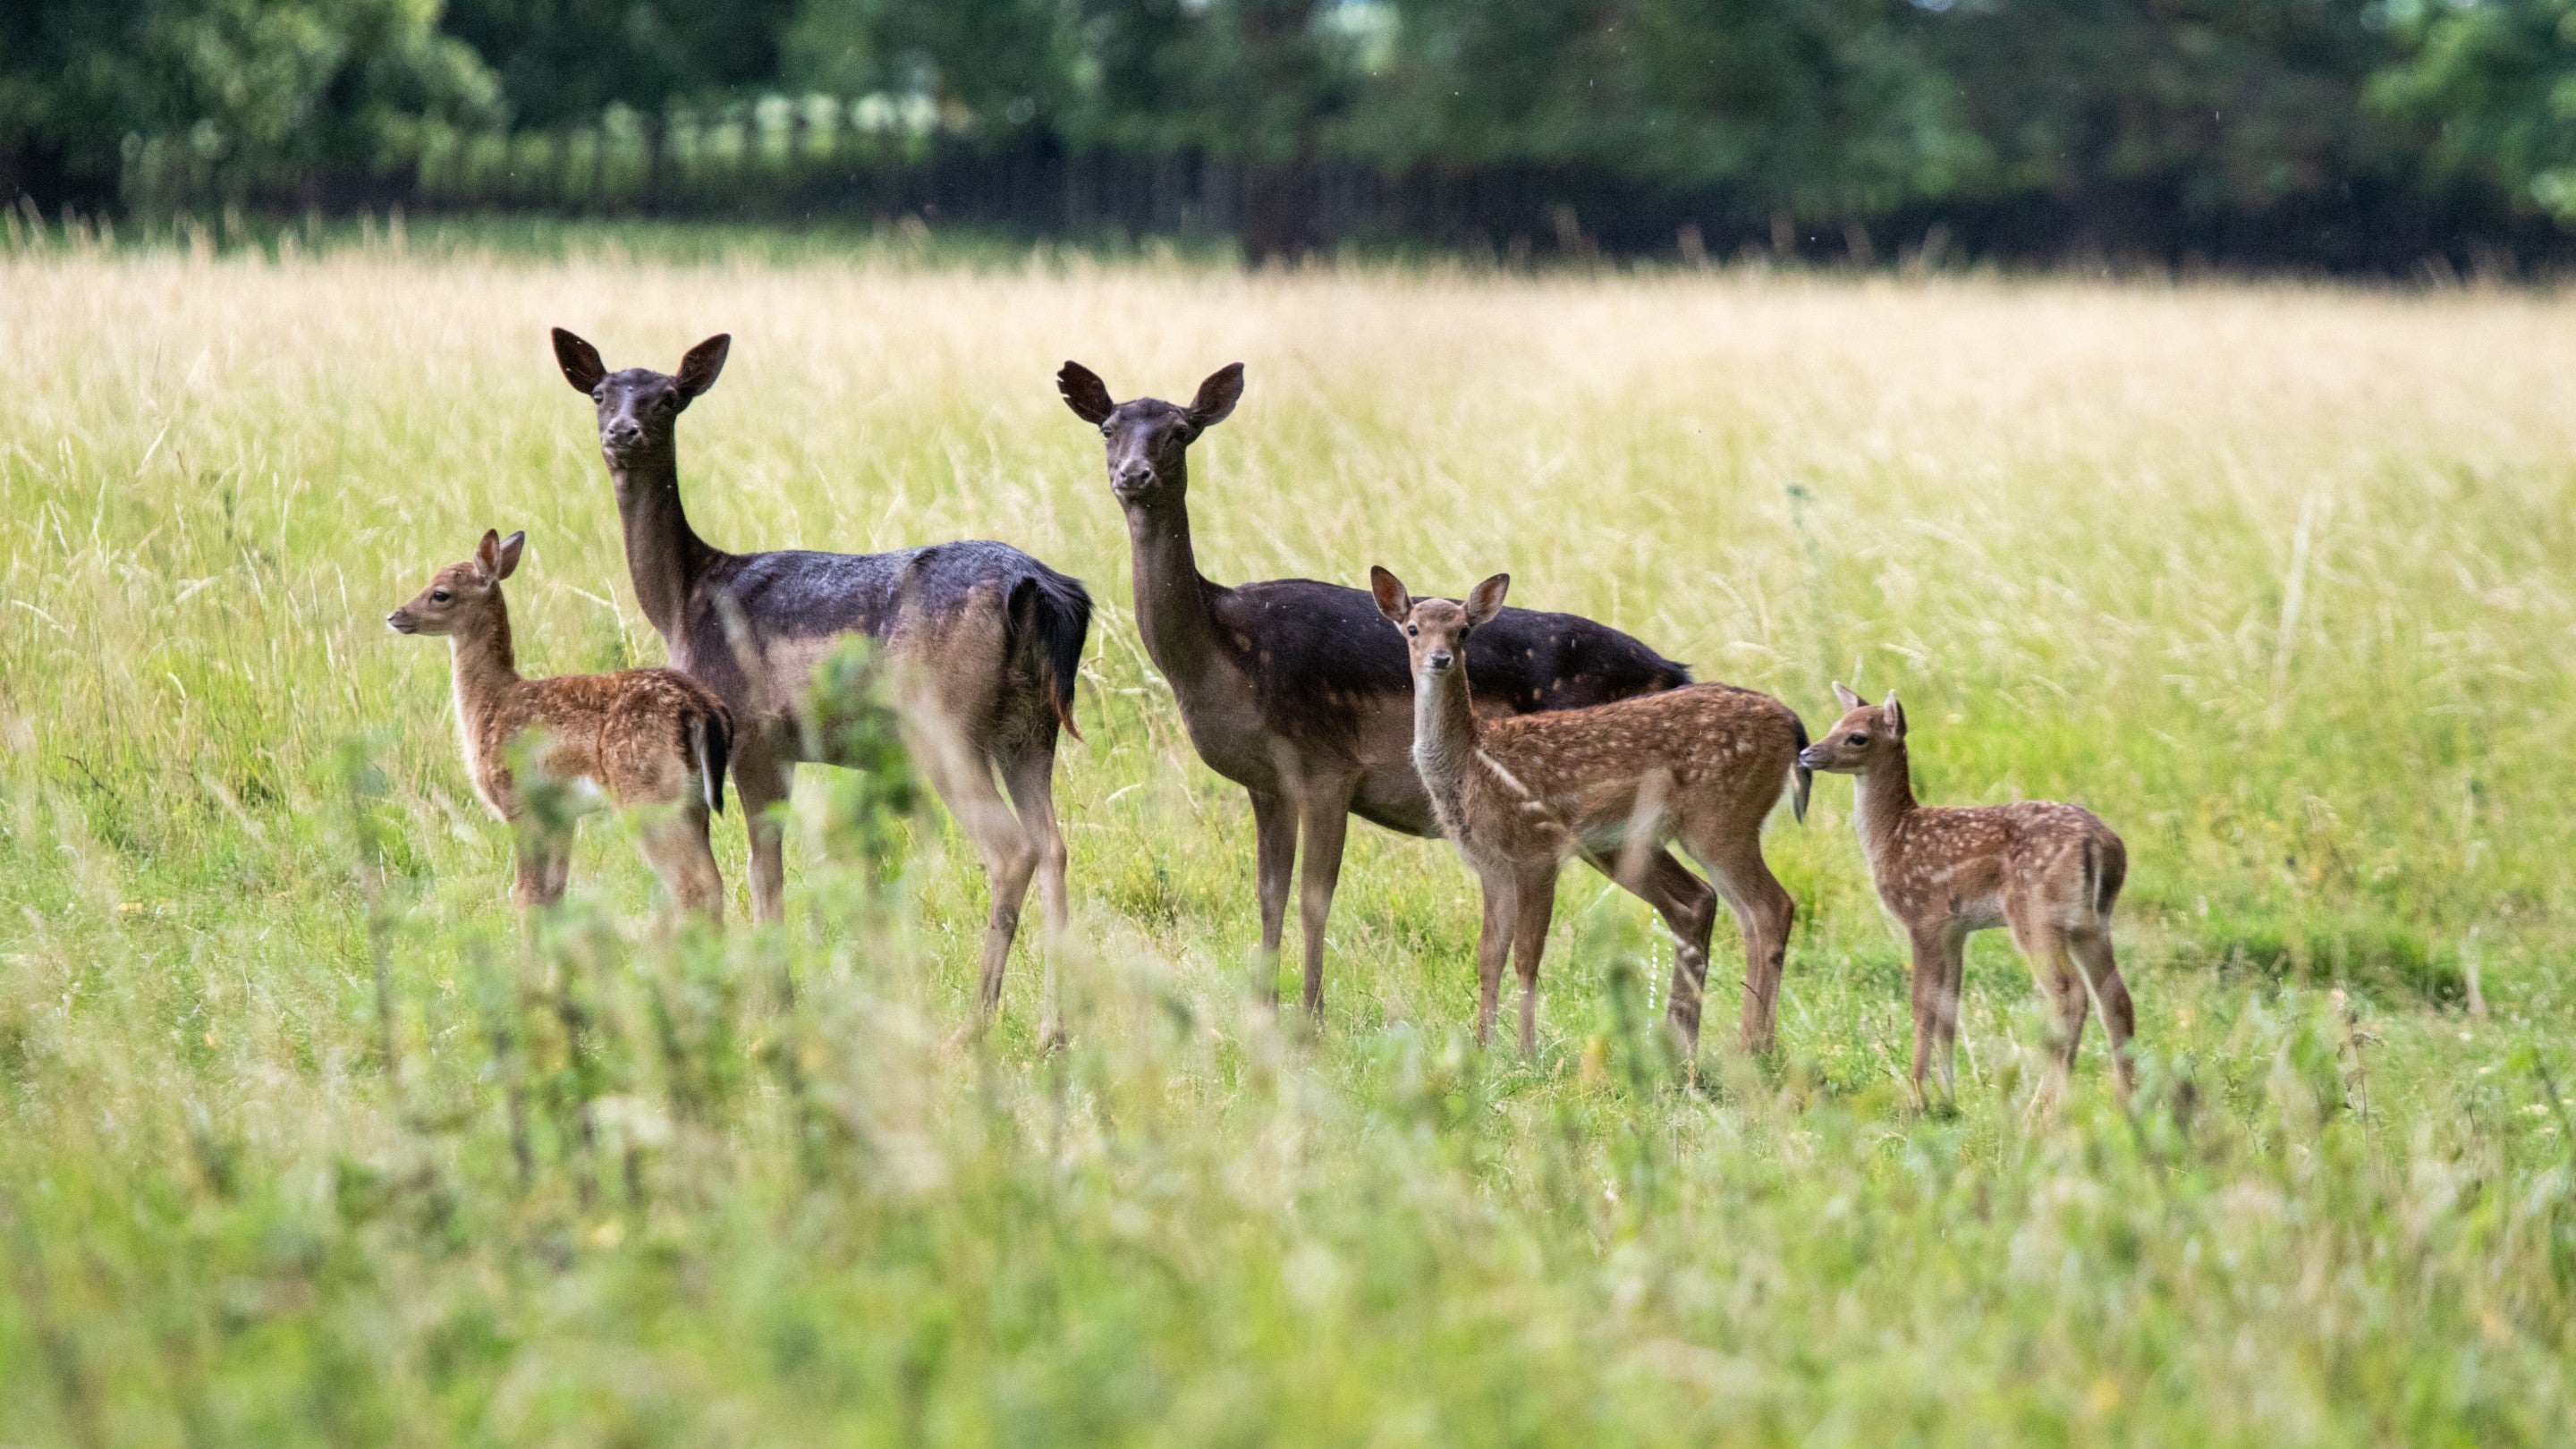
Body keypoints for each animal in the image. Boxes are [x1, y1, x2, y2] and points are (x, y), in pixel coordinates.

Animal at [388, 529, 732, 923]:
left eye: (440, 593)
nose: (395, 615)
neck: (490, 704)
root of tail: (701, 707)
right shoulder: (561, 814)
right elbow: (552, 894)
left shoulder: (520, 801)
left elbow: (527, 896)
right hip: (692, 801)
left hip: (649, 794)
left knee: (693, 886)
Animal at [553, 329, 1093, 1027]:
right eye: (599, 392)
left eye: (668, 397)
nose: (624, 431)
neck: (683, 602)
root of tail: (1041, 592)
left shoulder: (753, 733)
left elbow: (764, 870)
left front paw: (775, 1006)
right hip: (1031, 728)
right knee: (1054, 846)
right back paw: (1054, 1028)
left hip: (943, 720)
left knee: (1010, 850)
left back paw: (974, 1024)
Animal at [1058, 361, 1735, 1029]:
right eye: (1108, 429)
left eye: (1180, 431)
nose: (1133, 474)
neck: (1227, 655)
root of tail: (1674, 671)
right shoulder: (1266, 782)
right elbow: (1268, 895)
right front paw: (1263, 1011)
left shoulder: (1328, 767)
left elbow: (1314, 897)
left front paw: (1311, 1018)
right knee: (1695, 899)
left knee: (1695, 897)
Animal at [1373, 568, 1808, 1060]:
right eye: (1412, 629)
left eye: (1463, 631)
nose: (1441, 658)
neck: (1473, 761)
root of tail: (1793, 726)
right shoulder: (1491, 864)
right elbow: (1488, 955)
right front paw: (1483, 1046)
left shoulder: (1537, 850)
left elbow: (1527, 955)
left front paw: (1526, 1053)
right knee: (1744, 915)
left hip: (1722, 819)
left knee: (1772, 907)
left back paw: (1754, 1047)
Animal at [1798, 683, 2137, 1107]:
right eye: (1834, 724)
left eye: (1857, 736)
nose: (1806, 754)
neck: (1891, 836)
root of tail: (2103, 844)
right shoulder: (1957, 929)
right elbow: (1949, 1009)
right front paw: (1948, 1097)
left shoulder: (1922, 917)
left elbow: (1922, 1004)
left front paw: (1916, 1094)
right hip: (2091, 922)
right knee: (2117, 999)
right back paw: (2127, 1101)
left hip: (2036, 914)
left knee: (2069, 995)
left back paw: (2042, 1107)